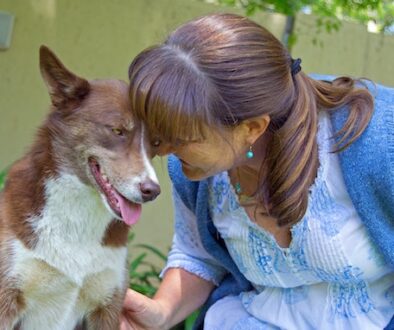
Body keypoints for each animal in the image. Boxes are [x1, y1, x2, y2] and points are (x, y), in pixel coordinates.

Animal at [0, 45, 160, 328]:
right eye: (117, 131)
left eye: (155, 143)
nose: (152, 190)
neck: (79, 212)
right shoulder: (7, 298)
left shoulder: (107, 307)